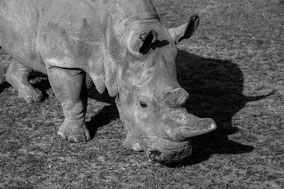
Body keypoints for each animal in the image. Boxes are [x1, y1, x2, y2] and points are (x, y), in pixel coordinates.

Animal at [0, 0, 215, 163]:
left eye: (186, 96)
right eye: (143, 104)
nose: (177, 155)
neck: (120, 38)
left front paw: (134, 145)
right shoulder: (64, 60)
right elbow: (74, 99)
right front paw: (74, 139)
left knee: (26, 48)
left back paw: (32, 97)